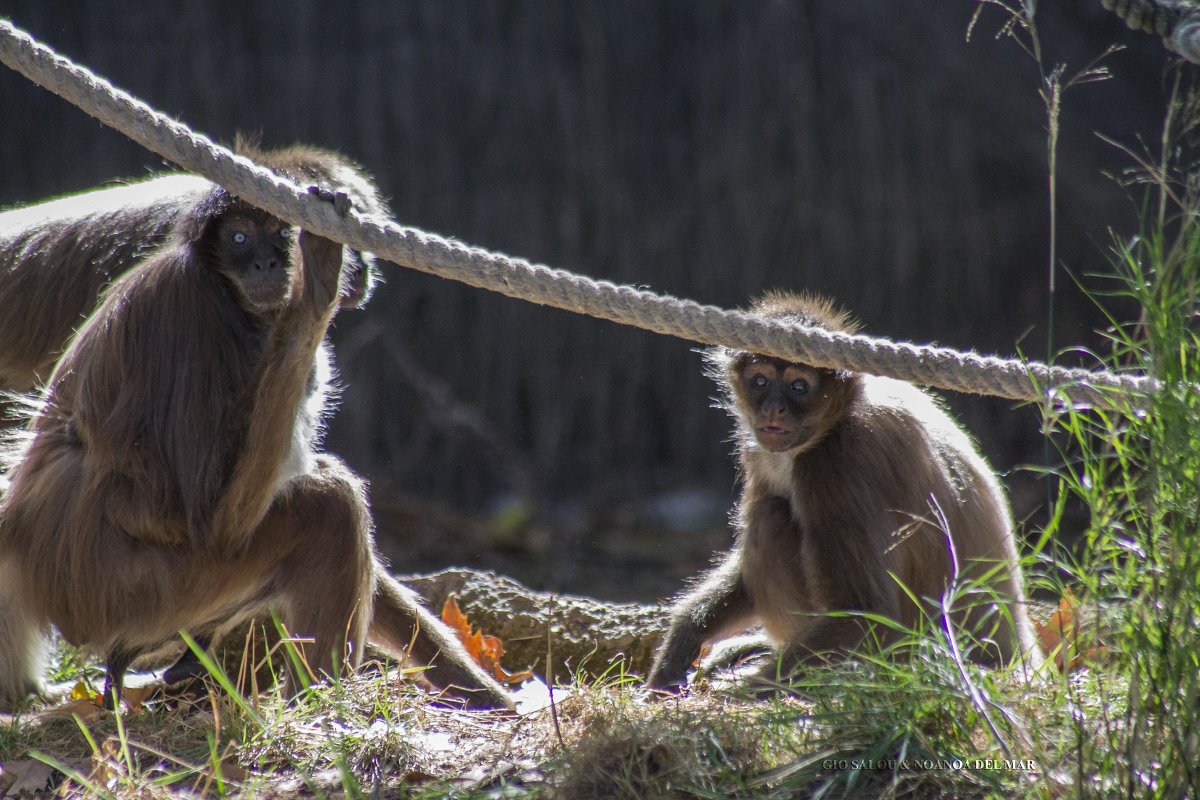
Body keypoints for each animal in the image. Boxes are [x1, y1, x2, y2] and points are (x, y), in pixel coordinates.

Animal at [648, 291, 1041, 690]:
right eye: (760, 381)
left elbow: (866, 615)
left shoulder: (836, 460)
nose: (773, 408)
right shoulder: (761, 448)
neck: (841, 413)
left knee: (770, 516)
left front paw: (748, 688)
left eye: (799, 386)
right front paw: (685, 636)